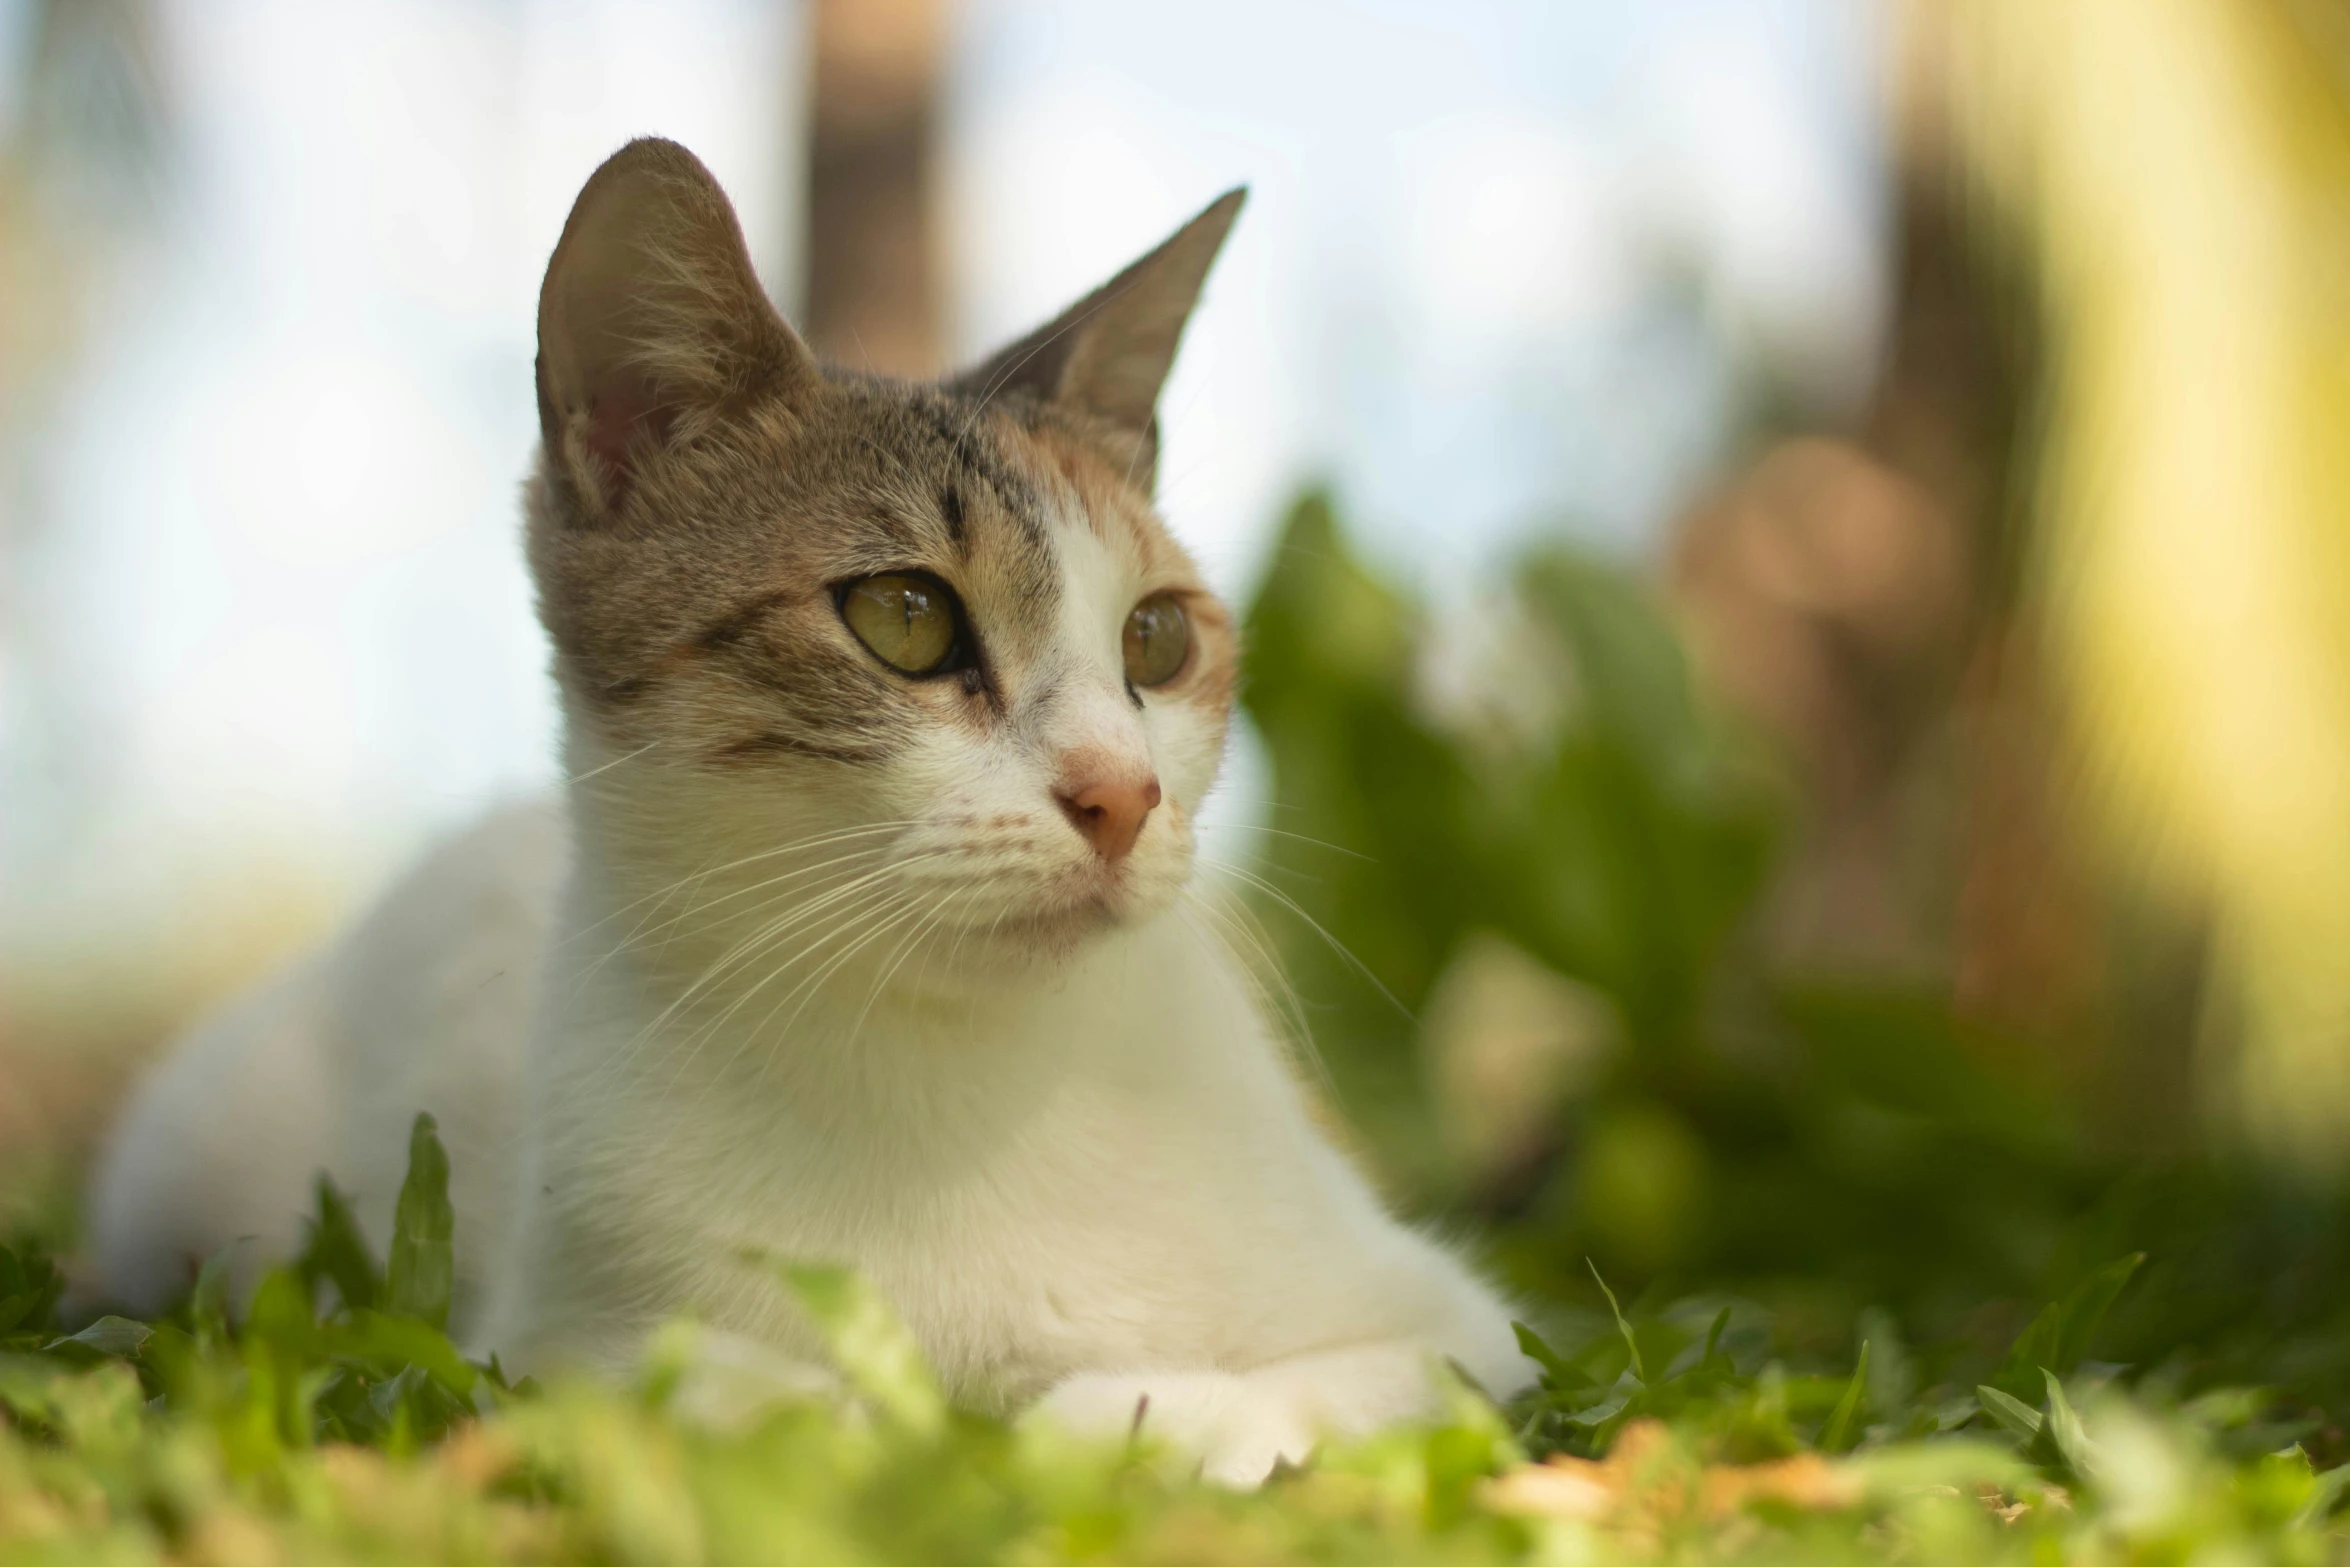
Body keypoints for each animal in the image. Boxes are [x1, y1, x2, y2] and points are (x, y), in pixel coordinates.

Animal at [82, 135, 1532, 1484]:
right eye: (905, 616)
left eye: (1158, 637)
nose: (1123, 791)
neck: (953, 1080)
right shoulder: (537, 1331)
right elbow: (677, 1382)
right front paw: (860, 1418)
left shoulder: (1464, 1327)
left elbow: (1351, 1382)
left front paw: (1116, 1420)